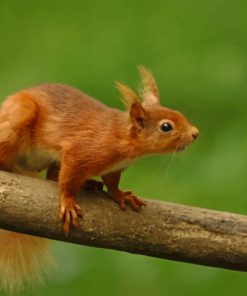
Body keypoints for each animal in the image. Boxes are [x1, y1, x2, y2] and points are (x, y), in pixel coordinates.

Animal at [0, 66, 198, 290]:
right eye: (166, 127)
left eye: (180, 114)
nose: (195, 133)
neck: (121, 137)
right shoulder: (80, 151)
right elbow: (68, 180)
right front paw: (68, 202)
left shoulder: (114, 168)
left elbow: (111, 183)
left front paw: (121, 196)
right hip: (19, 118)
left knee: (51, 175)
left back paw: (88, 183)